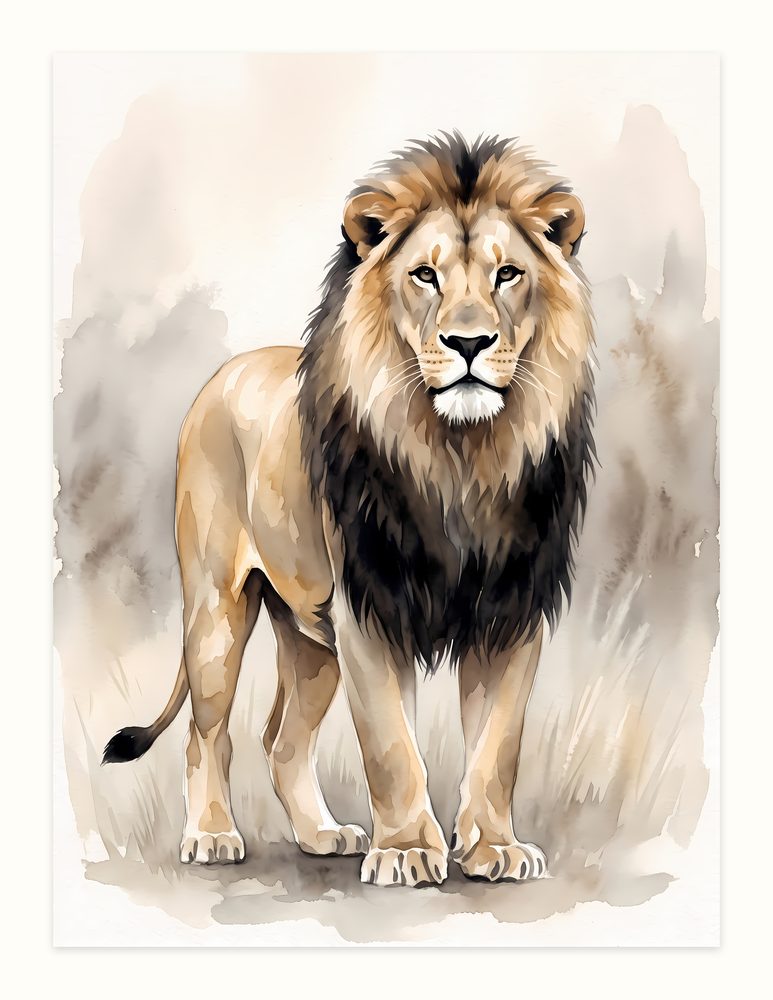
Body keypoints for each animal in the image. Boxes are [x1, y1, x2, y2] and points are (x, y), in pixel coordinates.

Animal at [103, 133, 595, 887]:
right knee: (205, 733)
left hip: (310, 641)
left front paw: (493, 848)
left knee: (281, 741)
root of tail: (228, 370)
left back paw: (321, 834)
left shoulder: (510, 612)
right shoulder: (369, 610)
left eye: (508, 274)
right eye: (425, 276)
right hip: (216, 611)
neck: (461, 456)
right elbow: (391, 746)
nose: (469, 343)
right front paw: (408, 851)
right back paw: (212, 835)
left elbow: (497, 745)